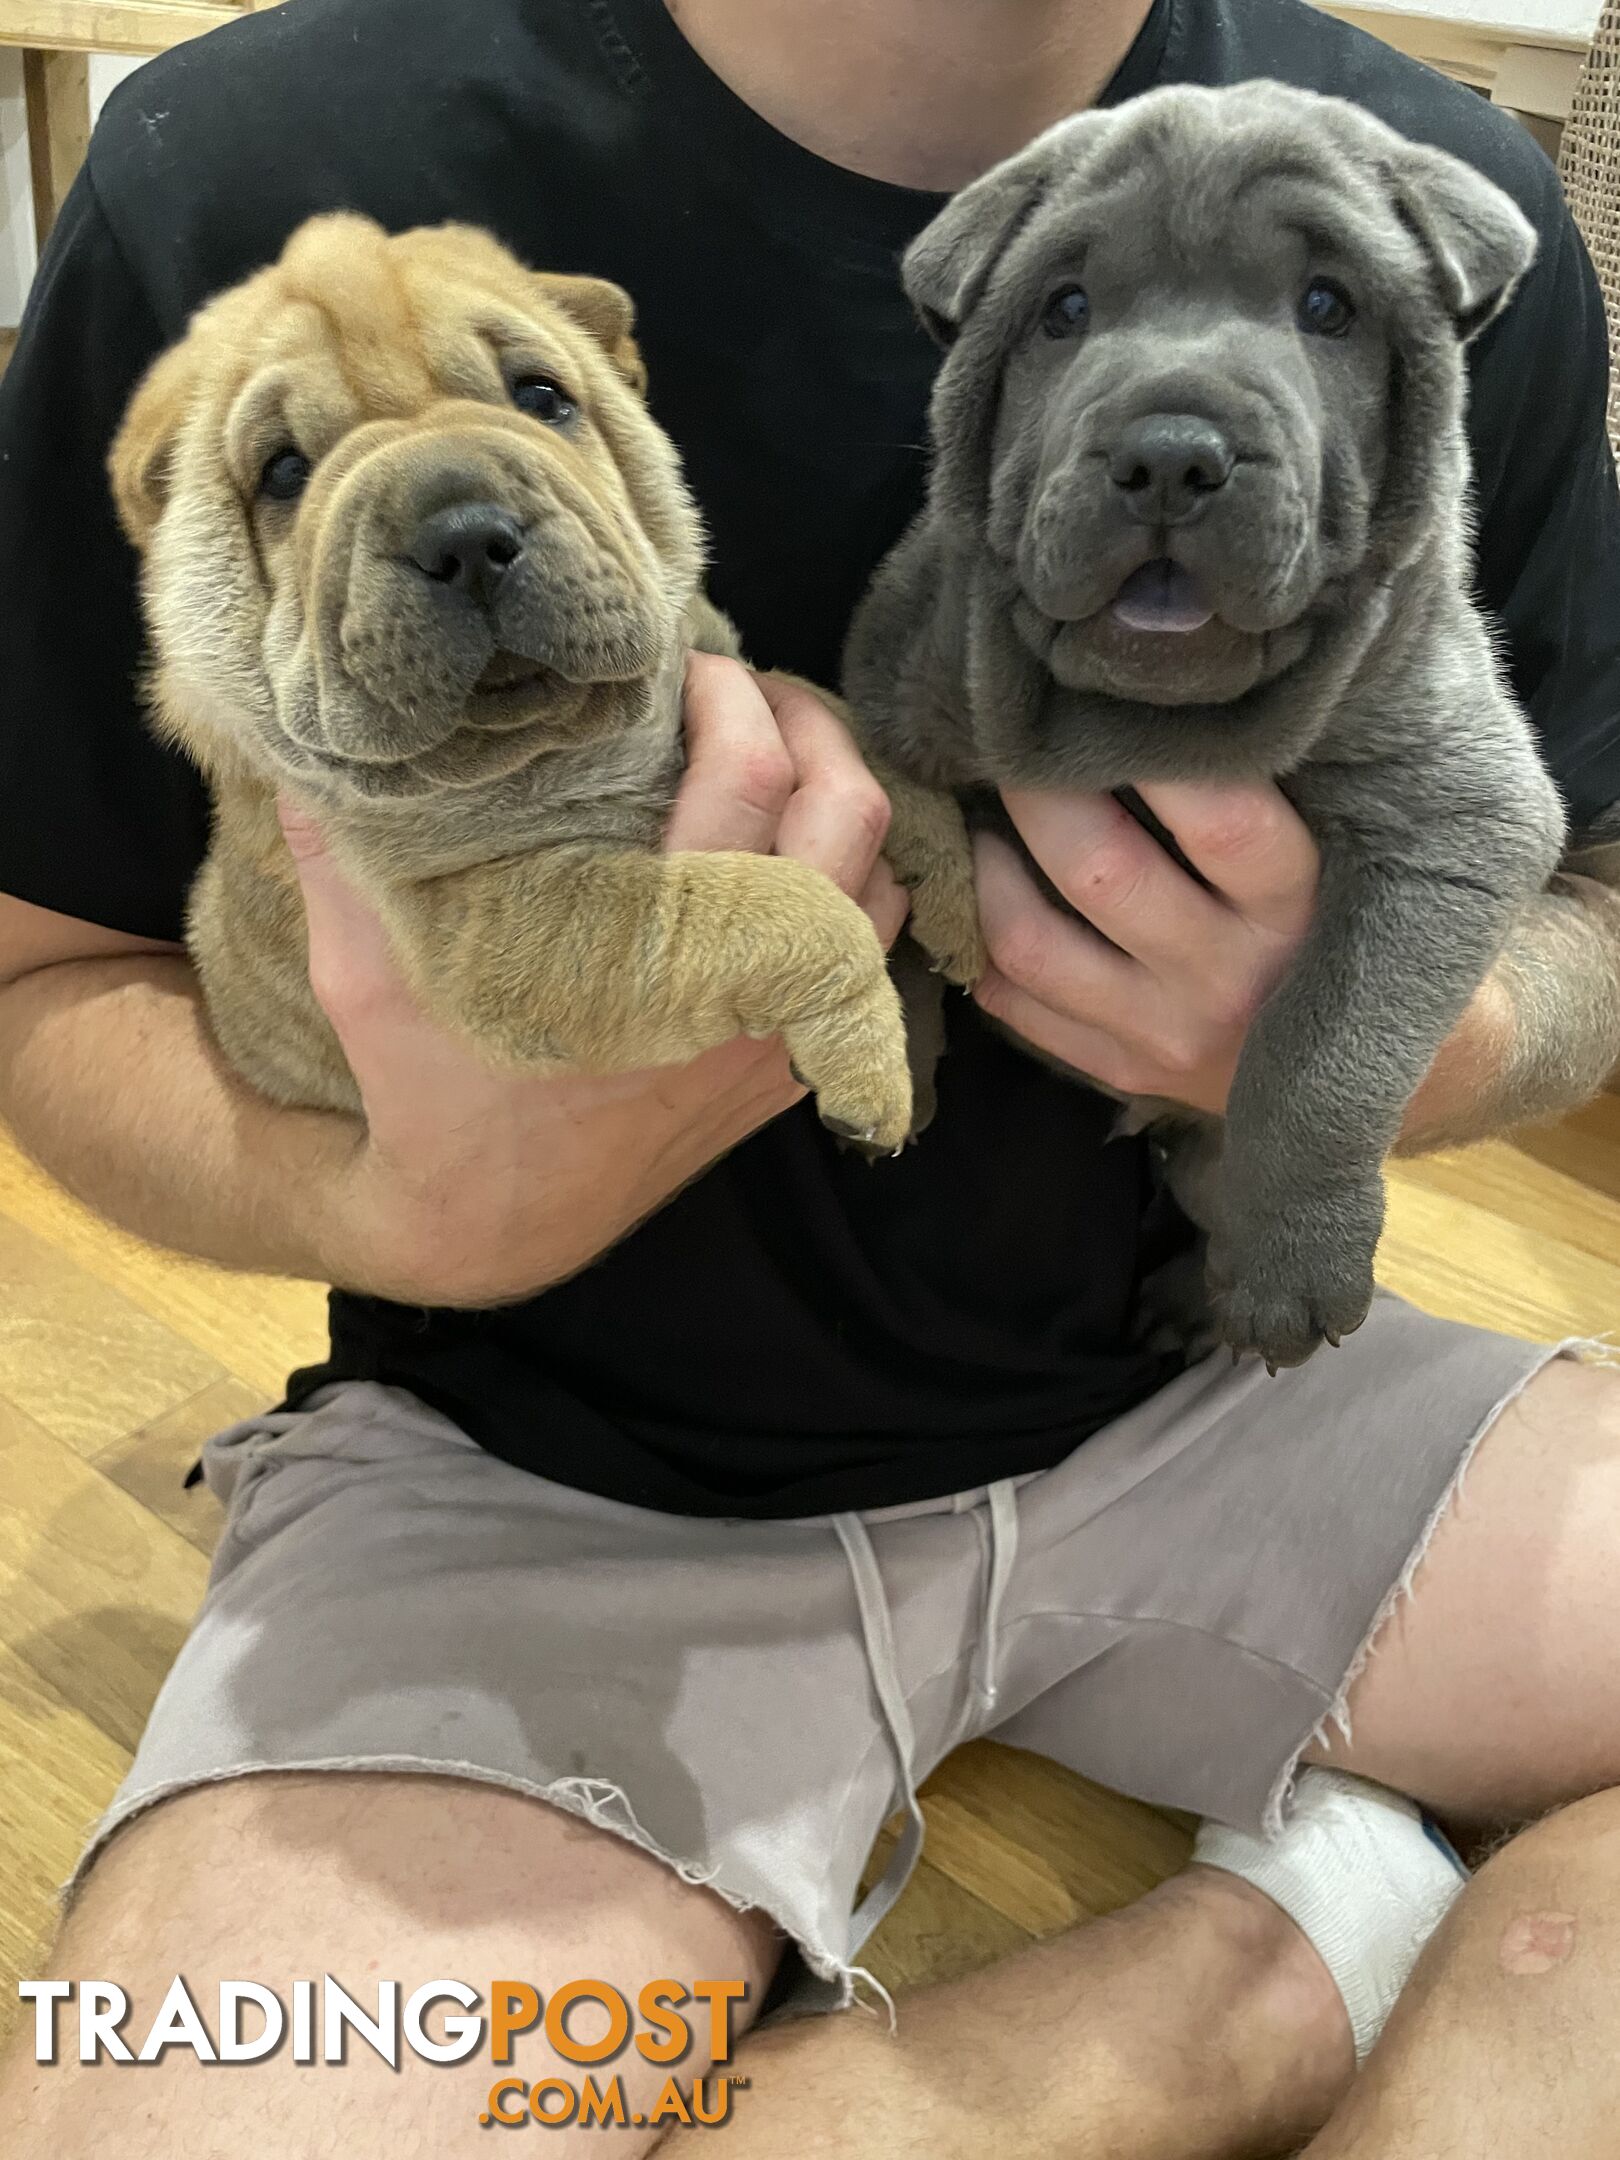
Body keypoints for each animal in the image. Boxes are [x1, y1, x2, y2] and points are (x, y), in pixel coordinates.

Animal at [111, 217, 976, 1157]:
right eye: (282, 472)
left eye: (541, 396)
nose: (462, 535)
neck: (575, 735)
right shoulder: (504, 926)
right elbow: (769, 908)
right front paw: (868, 1064)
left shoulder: (719, 659)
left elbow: (826, 706)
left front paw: (953, 887)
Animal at [851, 88, 1572, 1365]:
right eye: (1065, 310)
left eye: (1328, 307)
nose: (1173, 455)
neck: (1146, 723)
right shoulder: (892, 684)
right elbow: (902, 864)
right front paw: (899, 1058)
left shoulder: (1455, 813)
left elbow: (1326, 1044)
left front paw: (1291, 1262)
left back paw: (1205, 1305)